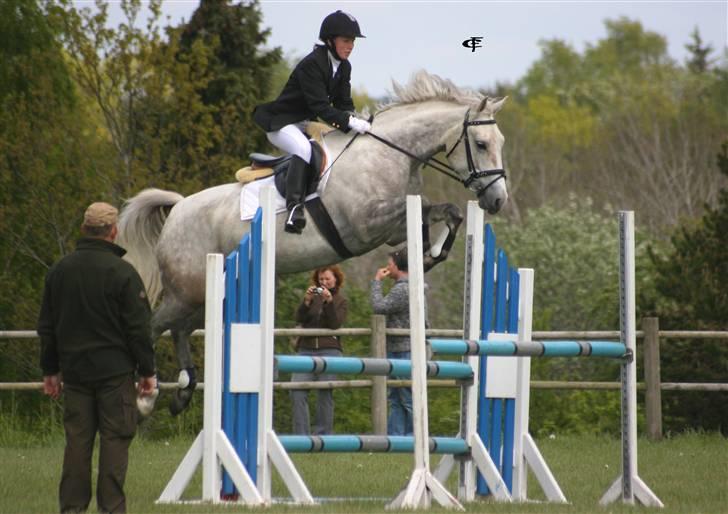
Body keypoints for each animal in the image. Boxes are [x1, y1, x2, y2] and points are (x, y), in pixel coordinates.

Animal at [118, 71, 506, 412]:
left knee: (180, 329)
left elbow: (449, 212)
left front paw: (433, 253)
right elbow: (422, 214)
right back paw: (146, 396)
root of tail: (178, 208)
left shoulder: (392, 224)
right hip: (188, 290)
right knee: (156, 326)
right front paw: (423, 254)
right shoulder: (369, 225)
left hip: (207, 293)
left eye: (500, 143)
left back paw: (184, 390)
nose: (498, 200)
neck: (388, 154)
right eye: (481, 144)